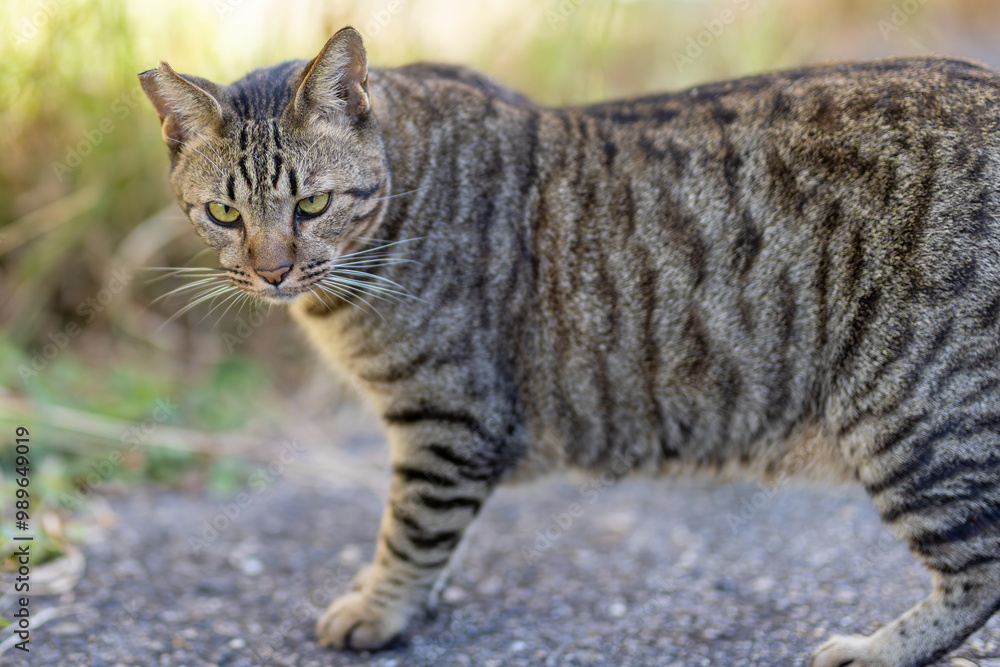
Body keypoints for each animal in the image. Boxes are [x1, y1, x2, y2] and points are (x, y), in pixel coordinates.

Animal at [141, 27, 1000, 667]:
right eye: (224, 214)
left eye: (313, 204)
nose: (272, 269)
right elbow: (426, 532)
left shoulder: (448, 418)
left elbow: (412, 528)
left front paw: (383, 608)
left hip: (913, 415)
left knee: (981, 568)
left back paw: (878, 649)